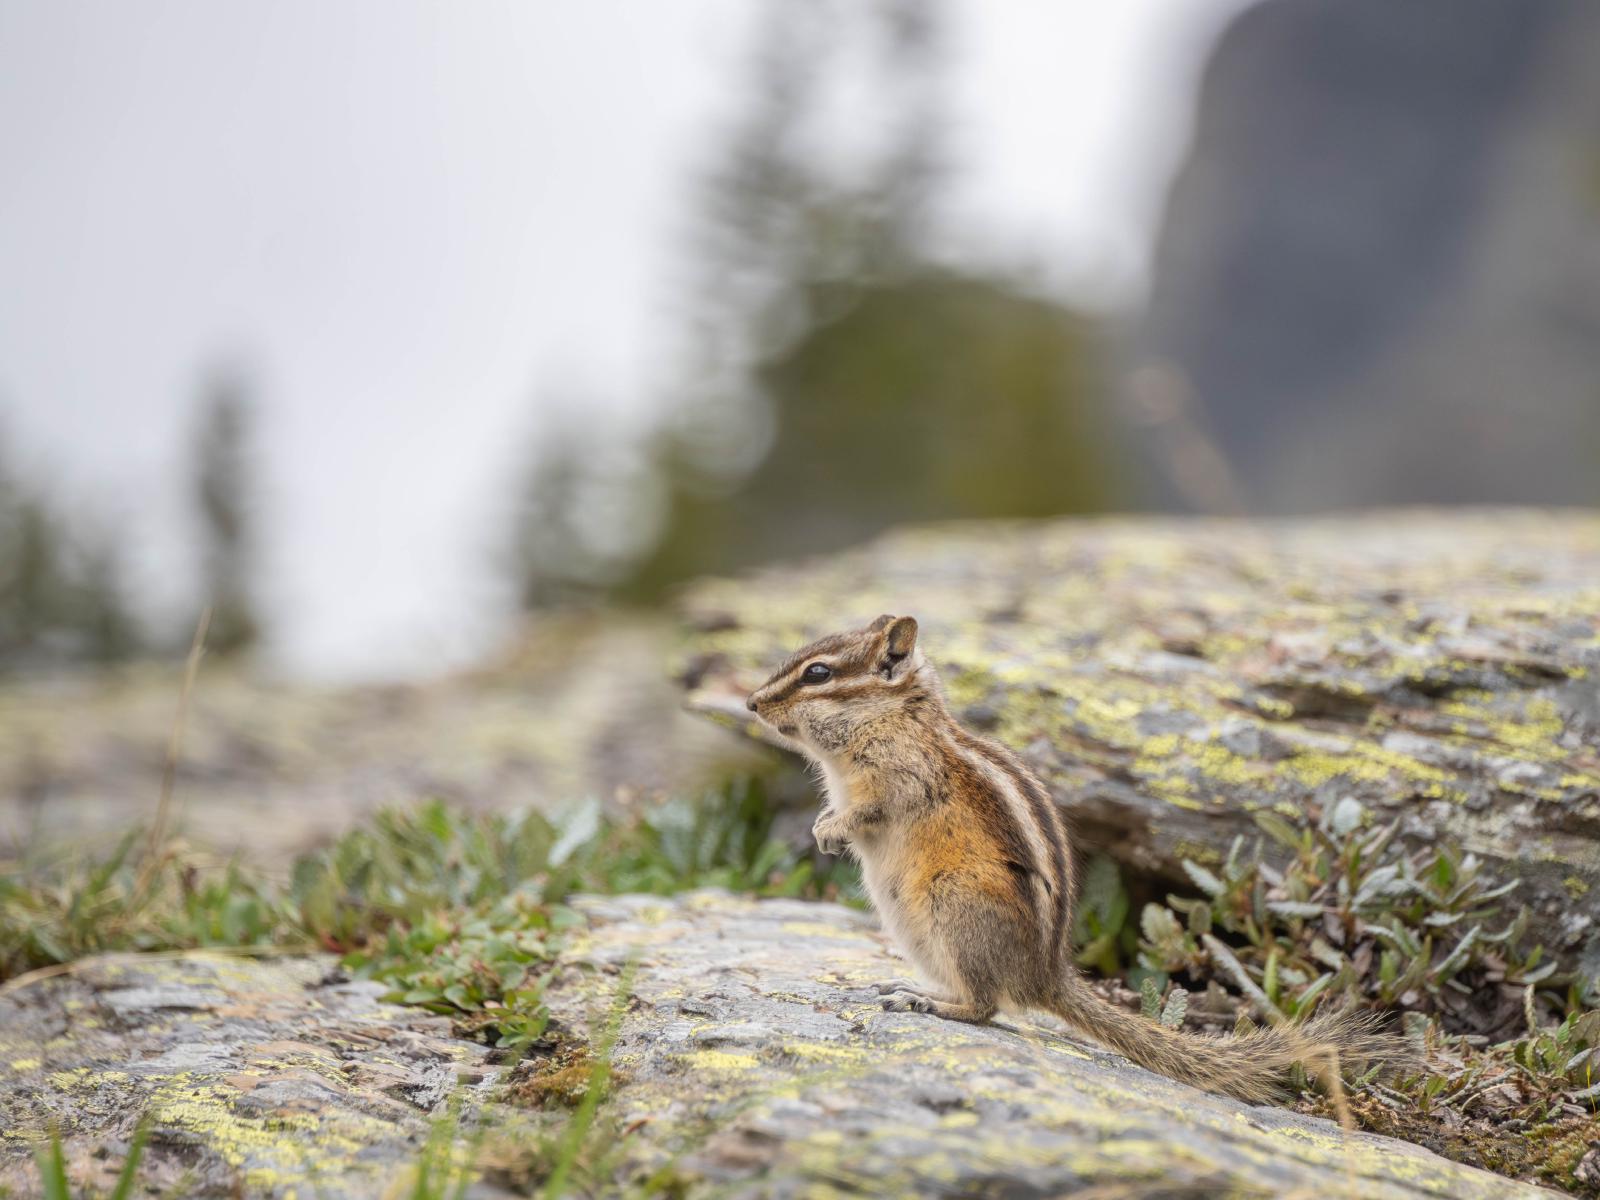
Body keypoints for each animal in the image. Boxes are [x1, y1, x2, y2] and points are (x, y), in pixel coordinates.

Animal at [745, 614, 1390, 1103]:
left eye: (818, 672)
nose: (750, 703)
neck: (888, 720)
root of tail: (1046, 976)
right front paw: (824, 828)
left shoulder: (900, 780)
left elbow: (870, 811)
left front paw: (831, 829)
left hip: (953, 902)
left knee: (986, 1007)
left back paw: (925, 1002)